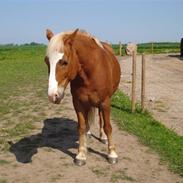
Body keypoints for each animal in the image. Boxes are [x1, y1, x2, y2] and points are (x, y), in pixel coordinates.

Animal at [44, 28, 121, 166]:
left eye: (64, 62)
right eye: (46, 61)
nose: (52, 95)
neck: (92, 71)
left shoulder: (105, 103)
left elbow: (108, 126)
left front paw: (112, 154)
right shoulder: (78, 103)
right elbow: (81, 127)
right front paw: (81, 154)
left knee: (101, 118)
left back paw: (103, 137)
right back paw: (89, 133)